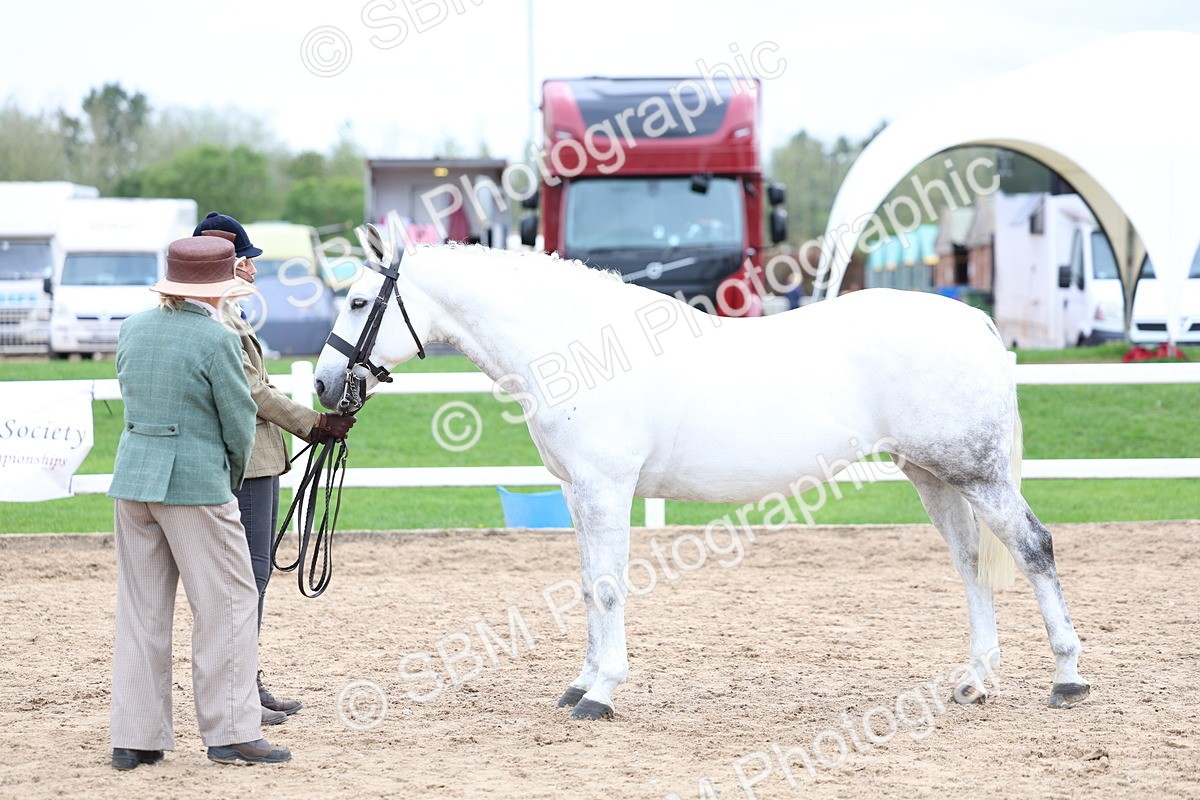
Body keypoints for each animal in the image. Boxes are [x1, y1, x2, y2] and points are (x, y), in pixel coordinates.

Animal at [313, 238, 1091, 720]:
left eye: (357, 302)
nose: (323, 384)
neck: (578, 349)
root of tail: (977, 323)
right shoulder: (577, 493)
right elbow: (588, 585)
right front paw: (581, 682)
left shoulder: (605, 489)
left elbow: (607, 586)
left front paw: (602, 693)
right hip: (933, 474)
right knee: (970, 563)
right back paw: (975, 681)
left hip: (974, 472)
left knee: (1032, 548)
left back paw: (1067, 679)